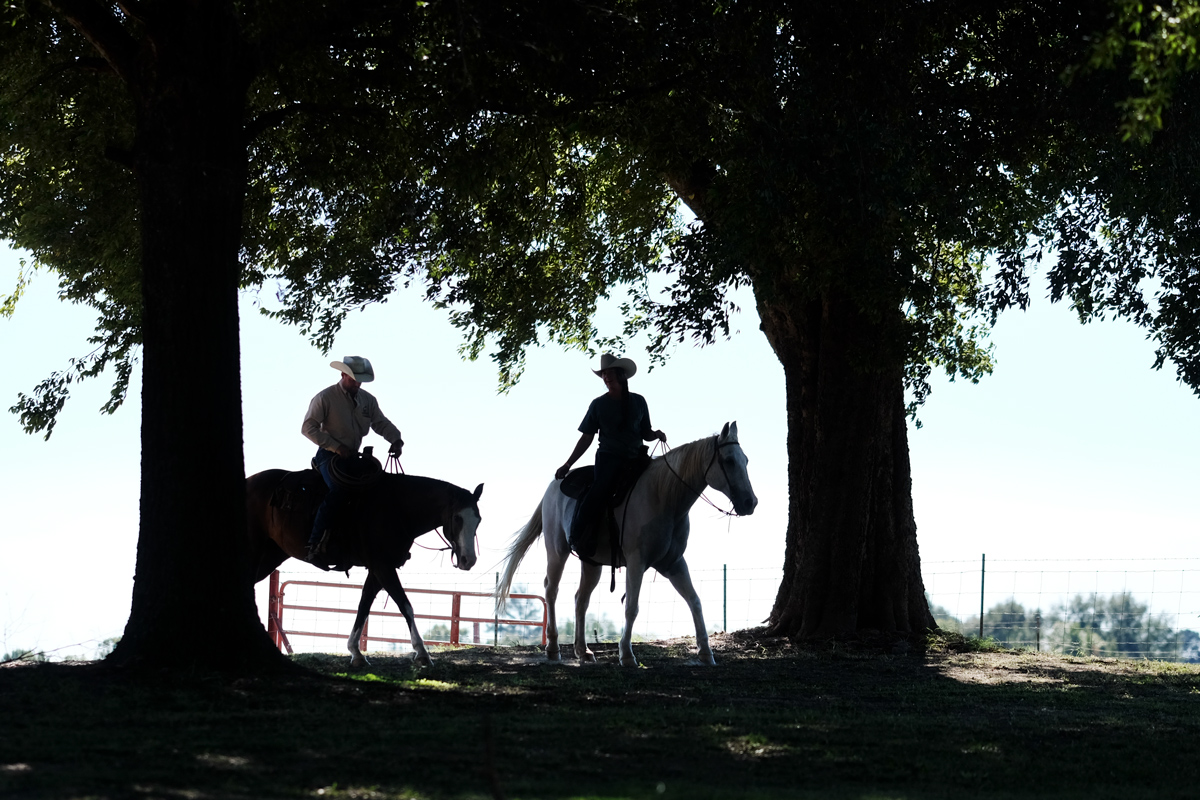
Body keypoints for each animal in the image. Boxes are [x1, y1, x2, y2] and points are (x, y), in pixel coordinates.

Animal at [244, 470, 482, 671]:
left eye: (478, 519)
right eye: (457, 518)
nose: (468, 560)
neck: (397, 506)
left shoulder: (378, 569)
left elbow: (364, 605)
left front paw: (356, 653)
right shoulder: (383, 566)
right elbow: (405, 604)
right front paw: (422, 653)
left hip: (271, 554)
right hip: (254, 549)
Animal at [492, 422, 753, 666]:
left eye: (746, 460)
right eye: (729, 461)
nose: (750, 502)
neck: (663, 497)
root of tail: (554, 486)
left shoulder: (674, 564)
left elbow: (695, 601)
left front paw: (706, 653)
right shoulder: (636, 562)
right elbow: (632, 607)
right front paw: (626, 654)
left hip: (592, 563)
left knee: (581, 599)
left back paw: (583, 651)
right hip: (557, 552)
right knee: (551, 591)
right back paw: (553, 648)